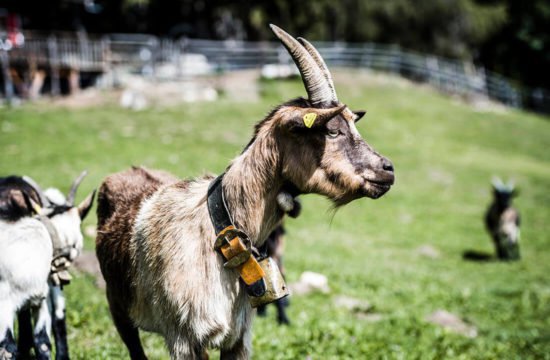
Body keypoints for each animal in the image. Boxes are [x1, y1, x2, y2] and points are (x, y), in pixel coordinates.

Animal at [96, 23, 396, 358]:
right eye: (332, 130)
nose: (387, 169)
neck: (219, 231)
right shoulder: (184, 337)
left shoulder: (238, 337)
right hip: (118, 306)